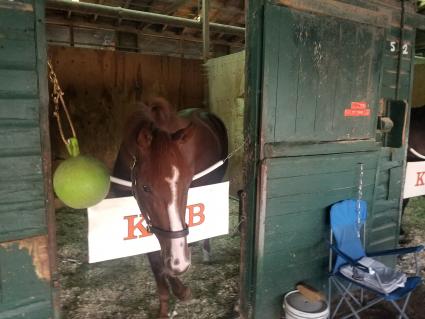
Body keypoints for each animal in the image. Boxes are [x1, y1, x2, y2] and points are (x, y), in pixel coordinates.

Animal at [111, 99, 227, 318]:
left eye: (186, 183)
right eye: (145, 187)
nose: (181, 263)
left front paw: (180, 286)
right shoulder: (146, 217)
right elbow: (157, 260)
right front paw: (168, 301)